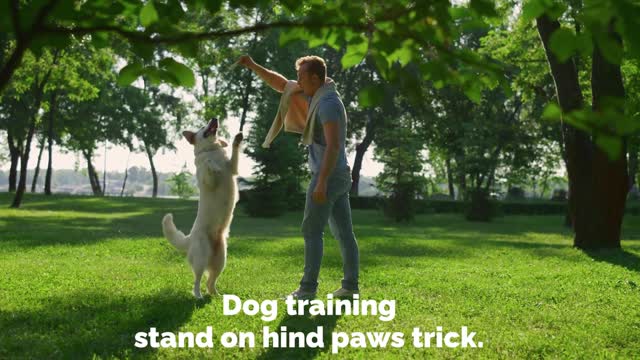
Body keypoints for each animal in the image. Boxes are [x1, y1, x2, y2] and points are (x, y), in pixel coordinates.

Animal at [162, 118, 242, 298]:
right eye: (201, 126)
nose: (214, 119)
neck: (211, 150)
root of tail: (189, 239)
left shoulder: (232, 168)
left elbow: (233, 154)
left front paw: (237, 139)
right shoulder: (209, 181)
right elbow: (207, 165)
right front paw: (211, 164)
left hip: (221, 261)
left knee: (210, 282)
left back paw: (216, 296)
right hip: (201, 258)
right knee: (197, 281)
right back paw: (198, 296)